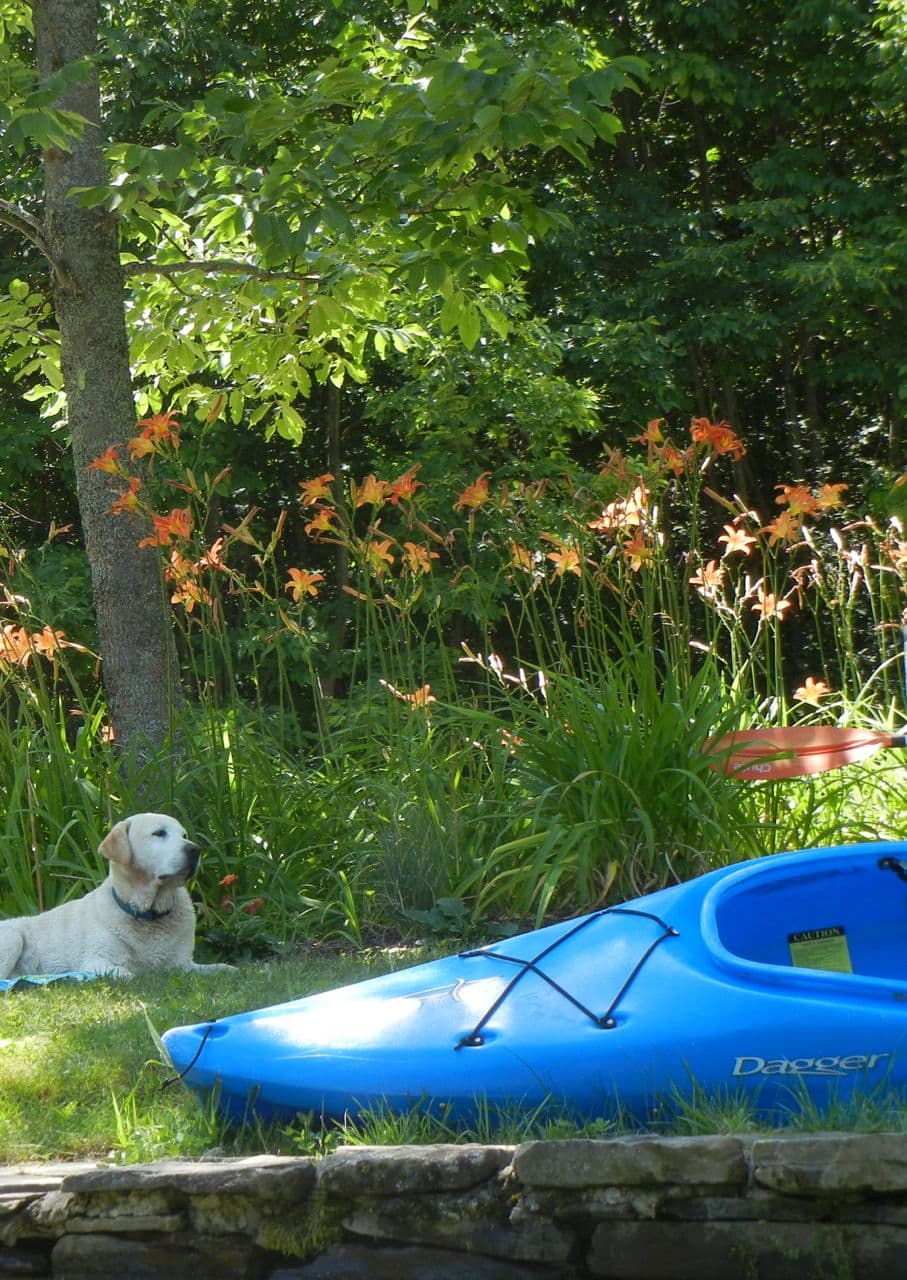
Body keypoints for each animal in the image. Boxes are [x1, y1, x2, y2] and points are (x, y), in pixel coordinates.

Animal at [0, 814, 234, 972]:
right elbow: (130, 974)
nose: (195, 849)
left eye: (184, 835)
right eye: (159, 833)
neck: (148, 915)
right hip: (13, 938)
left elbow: (219, 969)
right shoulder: (96, 962)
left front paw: (227, 968)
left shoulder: (183, 965)